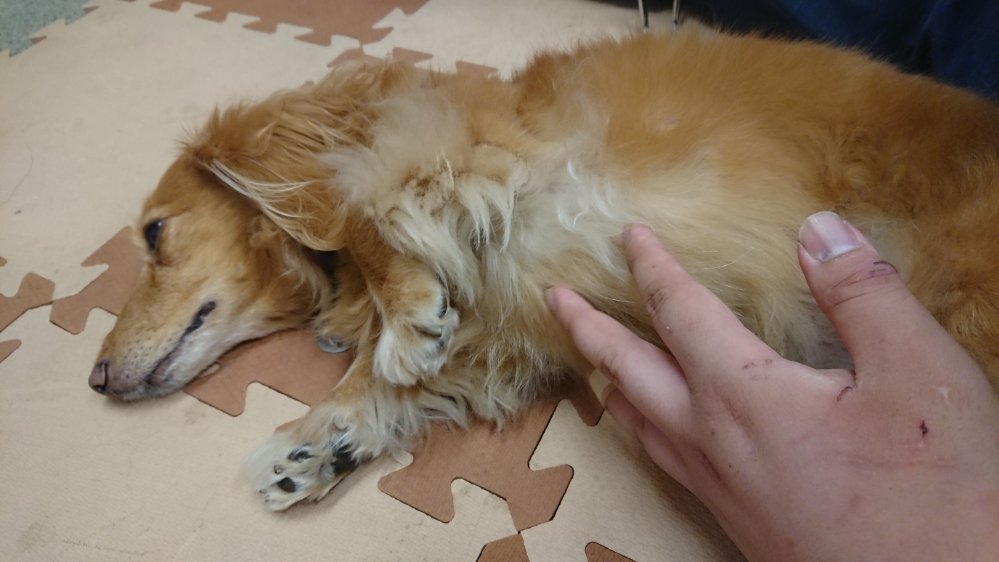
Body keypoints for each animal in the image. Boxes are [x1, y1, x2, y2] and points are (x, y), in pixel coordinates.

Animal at [88, 26, 999, 511]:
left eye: (156, 234)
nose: (95, 379)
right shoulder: (508, 330)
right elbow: (385, 376)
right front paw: (323, 439)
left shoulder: (468, 154)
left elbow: (374, 218)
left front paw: (406, 320)